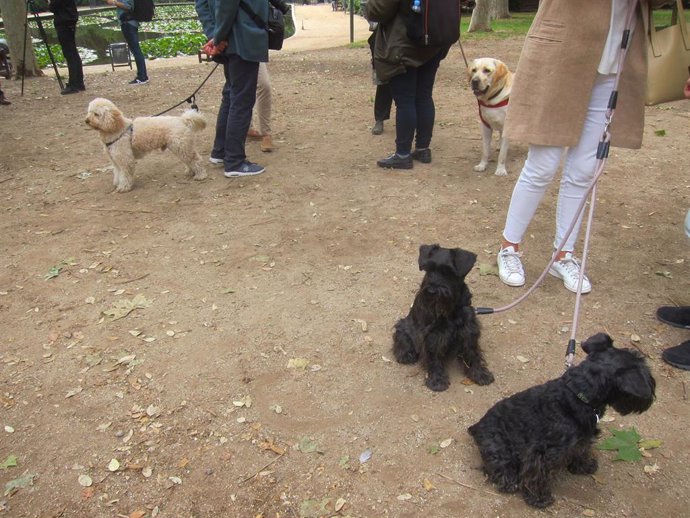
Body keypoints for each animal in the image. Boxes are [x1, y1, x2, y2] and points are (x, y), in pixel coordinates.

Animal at [390, 246, 492, 392]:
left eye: (448, 272)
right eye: (428, 270)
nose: (431, 291)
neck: (452, 311)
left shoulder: (469, 332)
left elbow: (473, 353)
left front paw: (480, 373)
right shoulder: (433, 336)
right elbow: (434, 359)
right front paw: (437, 380)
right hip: (403, 327)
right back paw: (405, 355)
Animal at [464, 336, 652, 510]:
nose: (651, 396)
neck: (577, 394)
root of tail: (476, 427)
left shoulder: (581, 439)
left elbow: (581, 450)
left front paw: (584, 466)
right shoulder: (542, 453)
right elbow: (536, 476)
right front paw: (538, 498)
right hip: (498, 448)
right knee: (497, 468)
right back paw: (509, 481)